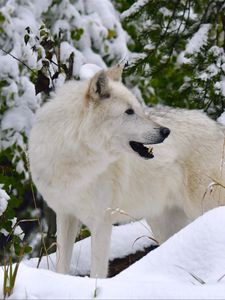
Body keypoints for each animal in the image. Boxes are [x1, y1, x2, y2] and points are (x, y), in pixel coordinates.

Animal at [29, 64, 225, 278]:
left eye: (138, 109)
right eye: (129, 112)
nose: (166, 131)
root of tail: (217, 127)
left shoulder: (101, 223)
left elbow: (97, 272)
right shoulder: (65, 215)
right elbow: (61, 268)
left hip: (202, 208)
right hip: (163, 223)